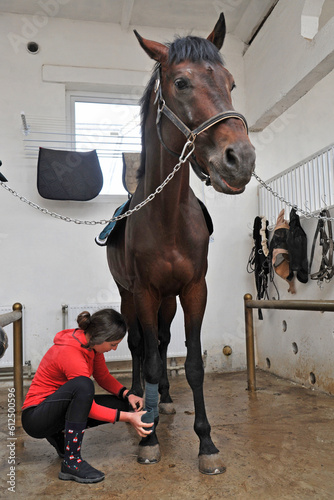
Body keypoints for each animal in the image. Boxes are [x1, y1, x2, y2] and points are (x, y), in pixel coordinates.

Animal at [107, 11, 256, 472]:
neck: (168, 217)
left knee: (161, 341)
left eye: (231, 82)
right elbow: (153, 362)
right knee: (141, 347)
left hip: (168, 300)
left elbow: (191, 364)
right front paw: (149, 436)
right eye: (181, 82)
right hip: (130, 296)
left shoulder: (192, 290)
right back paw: (142, 400)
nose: (241, 159)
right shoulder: (144, 292)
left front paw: (206, 443)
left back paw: (166, 401)